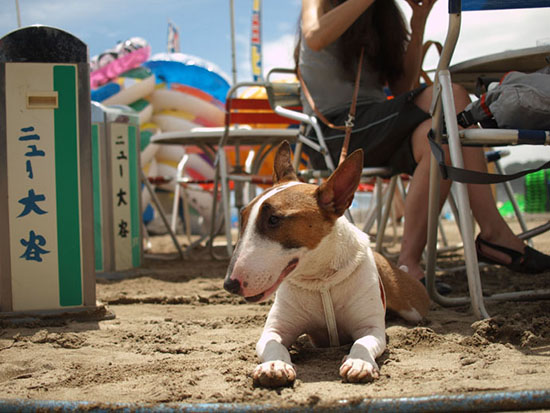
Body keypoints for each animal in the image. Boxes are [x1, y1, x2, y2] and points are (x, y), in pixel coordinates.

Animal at [222, 141, 430, 386]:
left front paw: (359, 363)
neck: (320, 279)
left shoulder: (371, 328)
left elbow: (362, 342)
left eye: (274, 220)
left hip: (414, 308)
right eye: (242, 217)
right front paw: (274, 366)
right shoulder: (275, 328)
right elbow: (273, 343)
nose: (229, 285)